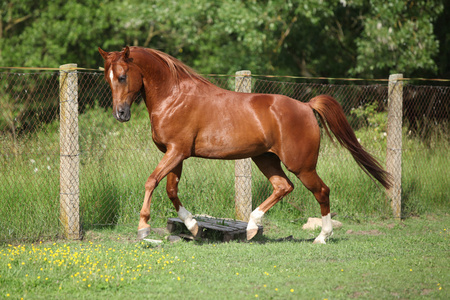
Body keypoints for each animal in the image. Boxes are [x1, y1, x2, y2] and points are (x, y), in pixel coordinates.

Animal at [98, 46, 390, 244]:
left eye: (122, 76)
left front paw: (143, 228)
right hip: (266, 158)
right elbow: (171, 190)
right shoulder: (175, 154)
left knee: (321, 191)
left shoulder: (176, 151)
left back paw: (322, 237)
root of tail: (307, 106)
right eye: (107, 78)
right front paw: (193, 227)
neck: (174, 97)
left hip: (301, 165)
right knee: (283, 187)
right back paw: (250, 228)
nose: (120, 114)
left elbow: (151, 182)